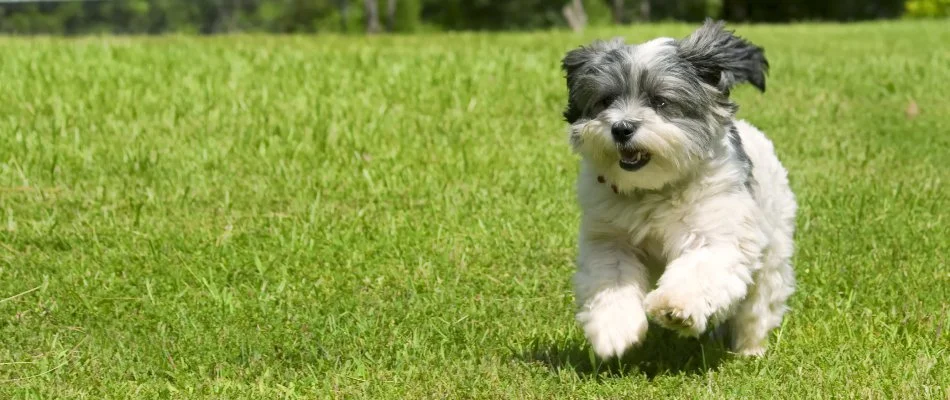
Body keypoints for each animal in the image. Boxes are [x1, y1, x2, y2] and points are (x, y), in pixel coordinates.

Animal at [560, 18, 800, 358]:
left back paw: (749, 350)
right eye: (606, 101)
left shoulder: (718, 232)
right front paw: (613, 330)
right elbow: (612, 278)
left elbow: (699, 269)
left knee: (758, 304)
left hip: (773, 248)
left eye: (660, 101)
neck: (654, 190)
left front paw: (676, 307)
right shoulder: (608, 239)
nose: (621, 128)